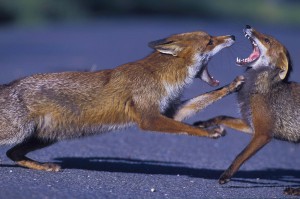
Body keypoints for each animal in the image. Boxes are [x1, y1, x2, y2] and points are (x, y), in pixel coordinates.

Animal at [0, 30, 244, 172]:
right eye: (210, 41)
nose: (233, 37)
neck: (162, 78)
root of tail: (8, 85)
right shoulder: (149, 119)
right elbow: (190, 129)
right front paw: (210, 132)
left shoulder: (169, 112)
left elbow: (205, 101)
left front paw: (233, 85)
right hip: (19, 132)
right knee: (10, 151)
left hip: (47, 137)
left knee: (13, 153)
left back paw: (42, 166)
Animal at [195, 25, 300, 196]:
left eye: (267, 40)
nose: (248, 26)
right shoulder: (250, 125)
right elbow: (222, 117)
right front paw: (204, 123)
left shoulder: (263, 134)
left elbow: (240, 155)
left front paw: (226, 176)